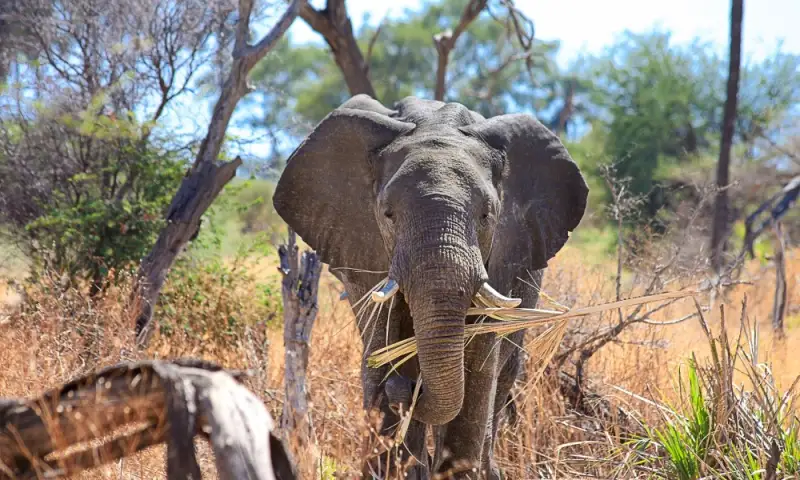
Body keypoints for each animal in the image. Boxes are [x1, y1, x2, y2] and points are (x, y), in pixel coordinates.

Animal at [272, 94, 588, 479]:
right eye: (388, 214)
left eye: (486, 215)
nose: (409, 389)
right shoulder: (366, 250)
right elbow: (384, 342)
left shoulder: (503, 254)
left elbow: (479, 364)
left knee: (503, 376)